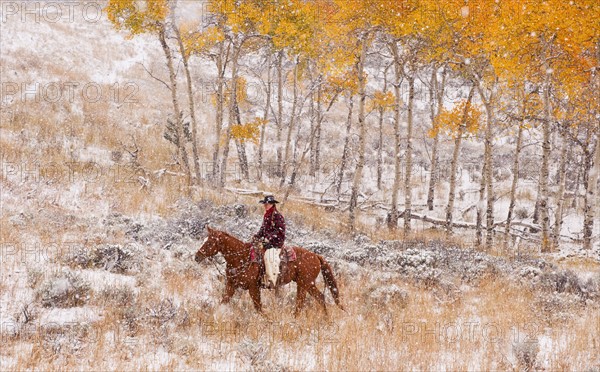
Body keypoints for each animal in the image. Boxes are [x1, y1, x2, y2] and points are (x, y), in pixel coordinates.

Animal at [192, 225, 342, 316]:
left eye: (209, 242)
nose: (197, 256)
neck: (242, 257)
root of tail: (316, 256)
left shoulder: (253, 287)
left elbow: (258, 307)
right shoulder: (231, 285)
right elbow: (223, 301)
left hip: (305, 283)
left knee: (304, 302)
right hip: (306, 284)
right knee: (317, 298)